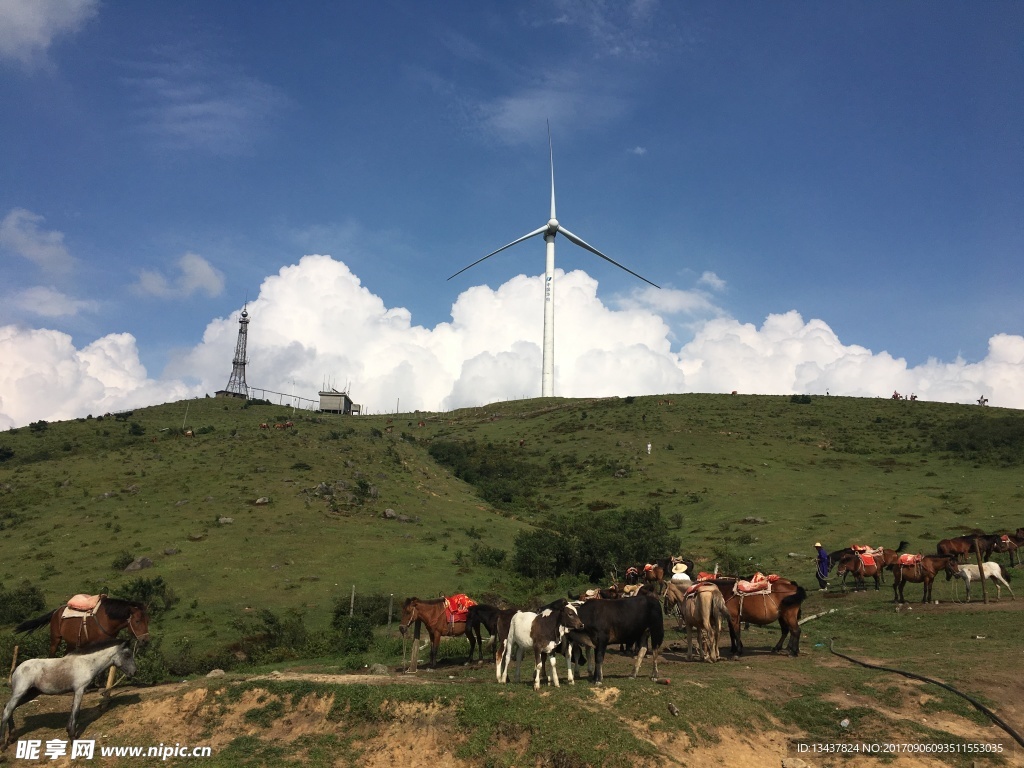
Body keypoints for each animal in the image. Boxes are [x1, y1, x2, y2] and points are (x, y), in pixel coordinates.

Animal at [1, 643, 136, 745]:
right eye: (127, 655)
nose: (134, 672)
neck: (87, 663)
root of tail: (17, 668)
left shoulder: (76, 691)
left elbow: (73, 710)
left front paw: (68, 730)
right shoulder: (80, 690)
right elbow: (76, 711)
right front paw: (72, 737)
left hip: (30, 693)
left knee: (8, 707)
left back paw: (11, 737)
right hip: (20, 693)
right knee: (7, 710)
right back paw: (3, 744)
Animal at [14, 598, 149, 659]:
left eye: (148, 621)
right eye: (137, 621)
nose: (145, 641)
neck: (106, 619)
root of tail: (56, 612)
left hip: (71, 642)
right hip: (55, 639)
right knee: (51, 655)